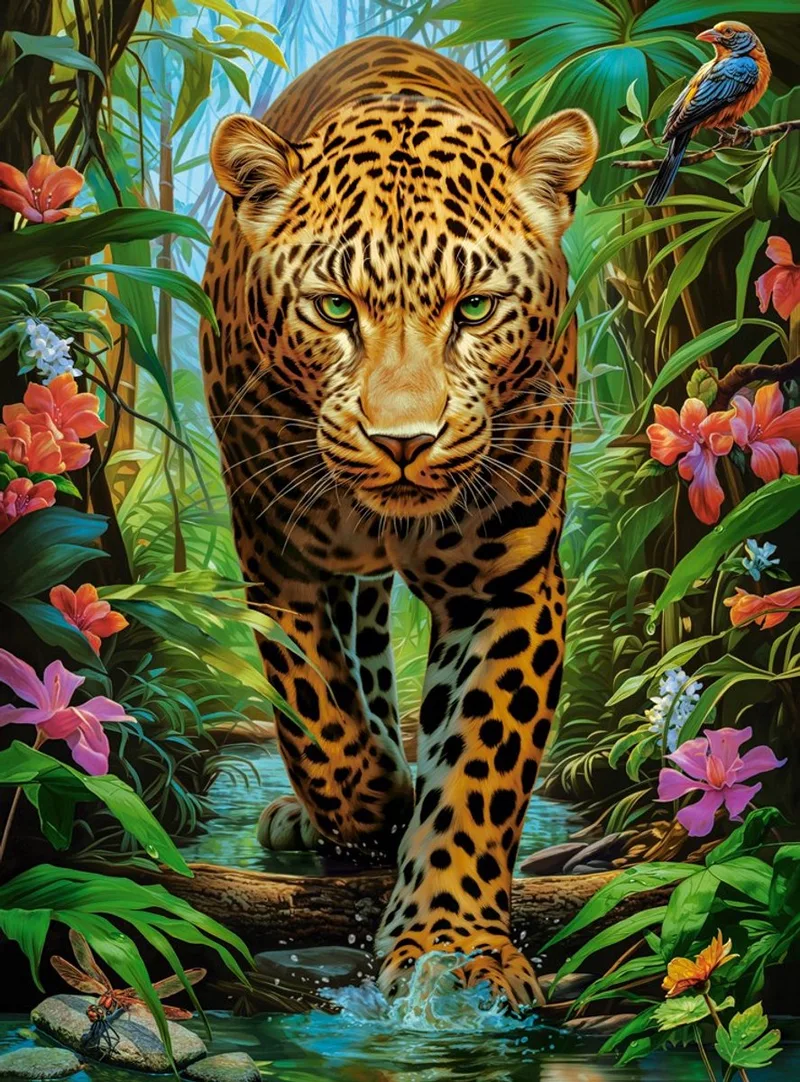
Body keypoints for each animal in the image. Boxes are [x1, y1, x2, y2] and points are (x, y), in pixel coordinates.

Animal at [200, 35, 597, 1011]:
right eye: (335, 308)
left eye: (476, 309)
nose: (404, 443)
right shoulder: (276, 563)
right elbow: (318, 716)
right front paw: (372, 805)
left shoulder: (508, 584)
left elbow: (479, 768)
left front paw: (454, 950)